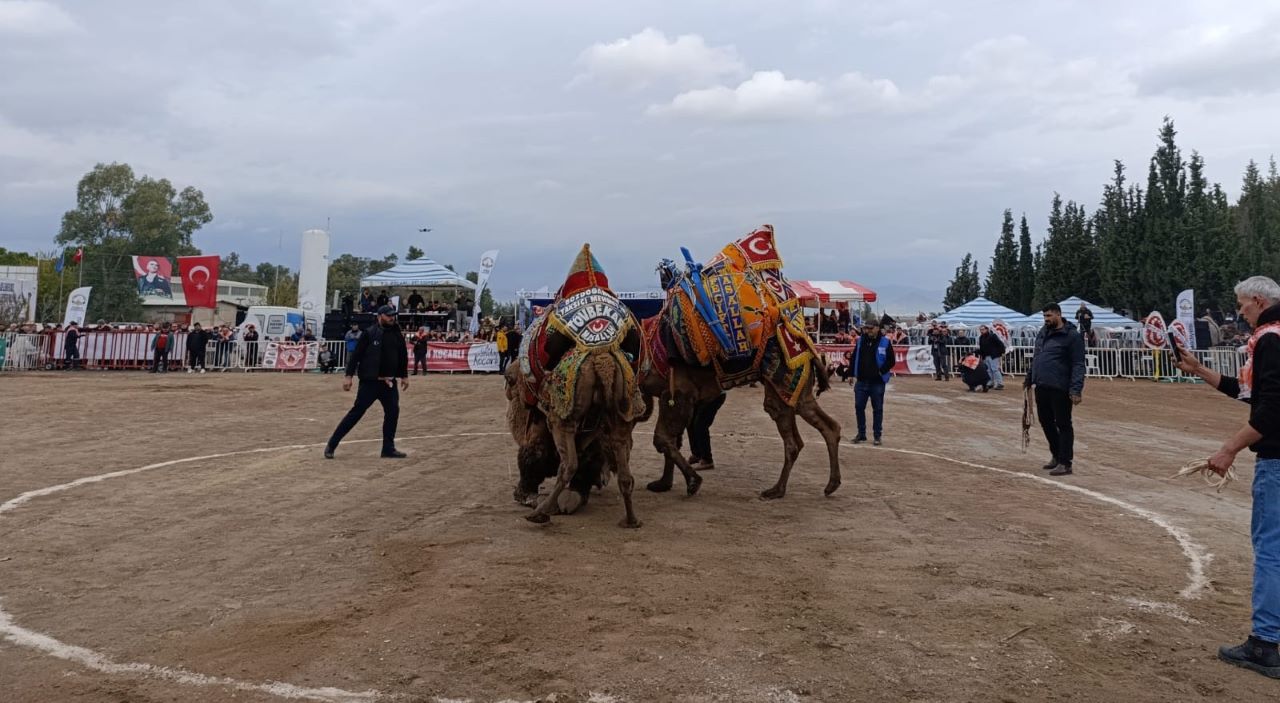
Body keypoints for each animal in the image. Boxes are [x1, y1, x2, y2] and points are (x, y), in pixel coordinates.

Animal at [637, 225, 839, 499]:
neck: (646, 346)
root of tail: (807, 346)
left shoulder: (679, 392)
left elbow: (662, 439)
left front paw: (692, 482)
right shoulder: (669, 396)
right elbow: (671, 440)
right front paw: (663, 483)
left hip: (784, 382)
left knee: (793, 441)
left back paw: (776, 490)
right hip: (797, 389)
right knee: (828, 427)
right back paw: (829, 484)